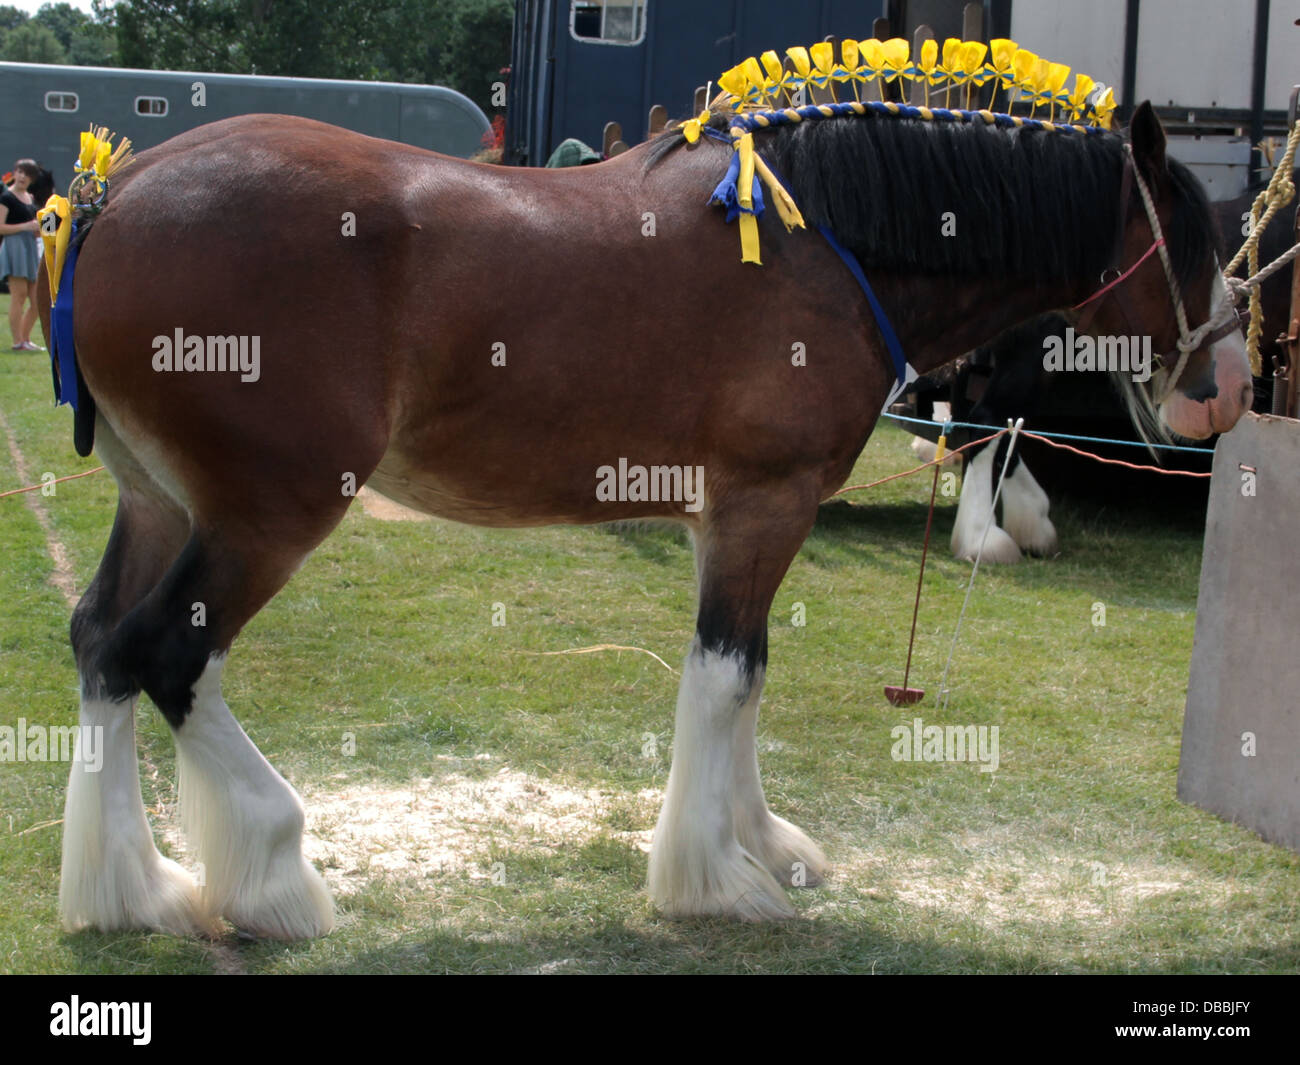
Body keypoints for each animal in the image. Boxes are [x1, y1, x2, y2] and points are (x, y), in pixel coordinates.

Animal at [41, 98, 1252, 937]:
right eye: (1193, 242)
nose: (1229, 390)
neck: (826, 245)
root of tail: (114, 197)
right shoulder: (765, 502)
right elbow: (725, 676)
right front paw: (714, 879)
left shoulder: (735, 519)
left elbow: (747, 679)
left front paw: (762, 843)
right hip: (270, 511)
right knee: (166, 657)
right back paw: (275, 877)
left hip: (160, 503)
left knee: (100, 647)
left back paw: (130, 894)